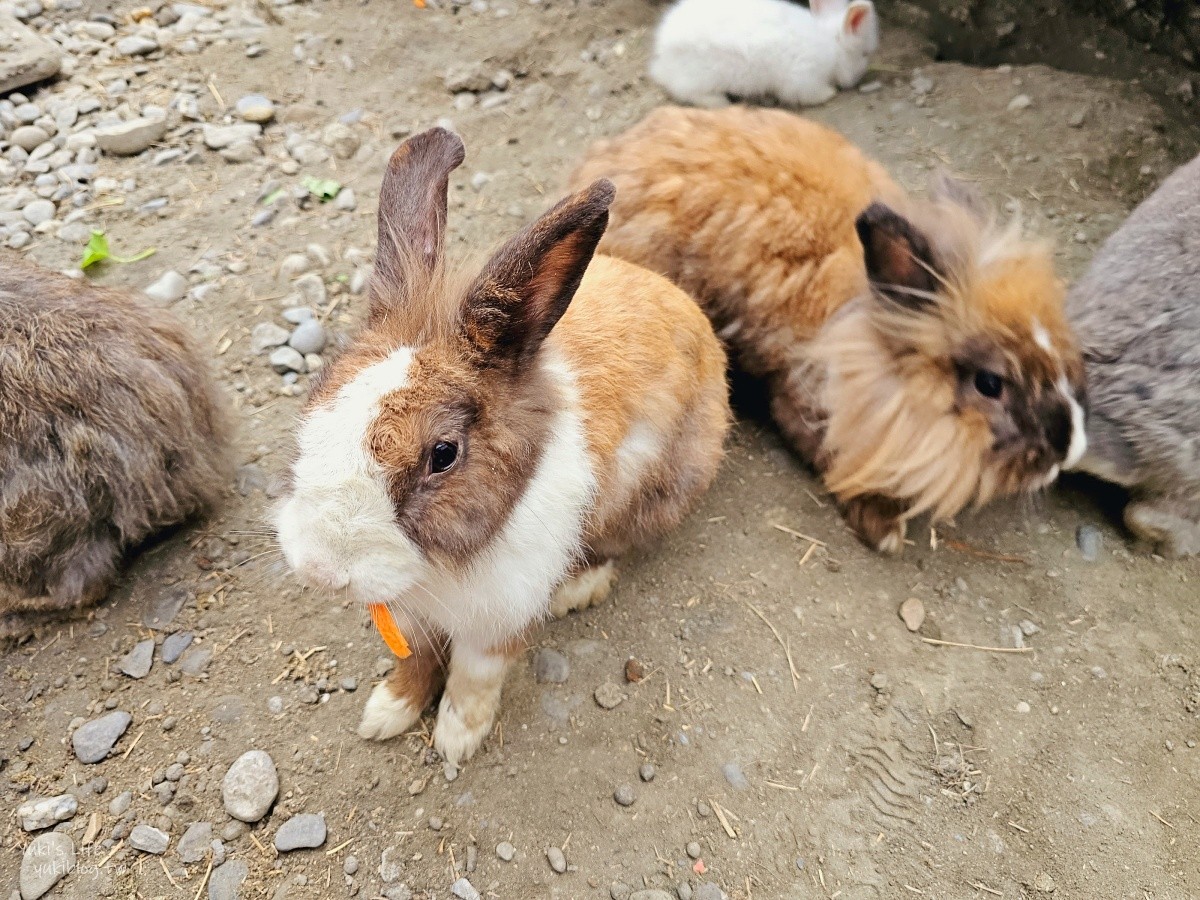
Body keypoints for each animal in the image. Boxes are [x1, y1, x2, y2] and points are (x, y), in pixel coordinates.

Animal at [276, 128, 724, 768]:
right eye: (318, 396)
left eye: (443, 454)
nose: (317, 568)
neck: (440, 569)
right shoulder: (412, 614)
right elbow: (417, 660)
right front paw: (386, 711)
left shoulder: (499, 617)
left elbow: (473, 677)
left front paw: (457, 738)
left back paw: (575, 591)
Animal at [648, 0, 883, 109]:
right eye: (864, 54)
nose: (857, 79)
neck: (831, 46)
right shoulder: (803, 77)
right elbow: (807, 94)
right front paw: (829, 93)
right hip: (702, 77)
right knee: (688, 92)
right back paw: (720, 102)